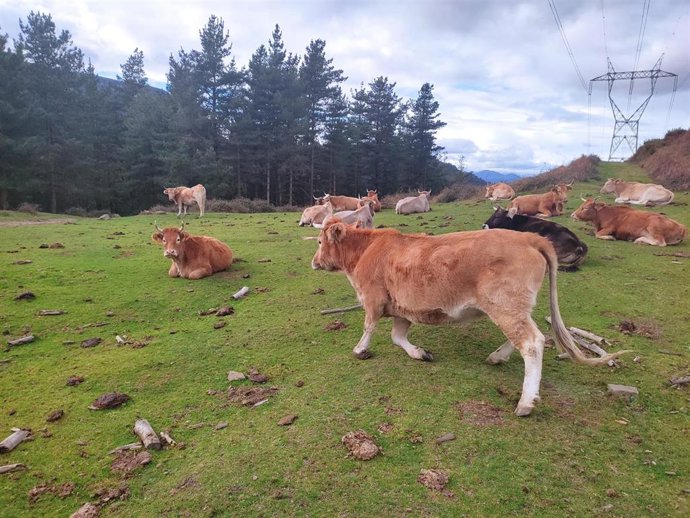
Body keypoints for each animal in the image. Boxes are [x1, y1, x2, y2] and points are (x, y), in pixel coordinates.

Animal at [311, 220, 628, 416]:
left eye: (320, 241)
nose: (314, 262)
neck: (365, 252)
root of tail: (529, 237)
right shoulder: (404, 308)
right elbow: (397, 337)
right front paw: (419, 353)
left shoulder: (373, 299)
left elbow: (369, 326)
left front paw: (360, 349)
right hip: (515, 306)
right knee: (532, 335)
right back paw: (498, 356)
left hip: (505, 305)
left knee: (532, 342)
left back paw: (526, 402)